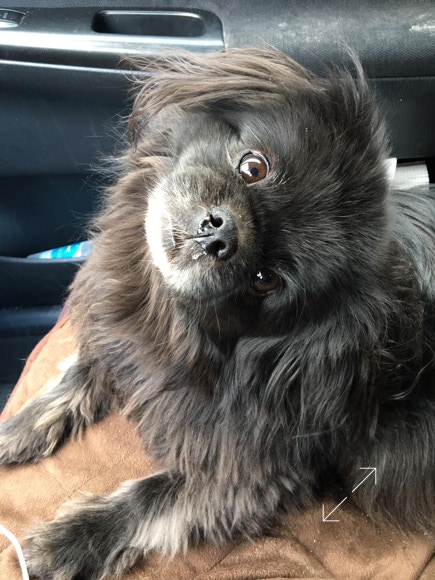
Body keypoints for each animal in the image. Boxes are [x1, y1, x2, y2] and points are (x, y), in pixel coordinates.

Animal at [0, 48, 434, 579]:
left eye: (266, 279)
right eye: (254, 167)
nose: (220, 232)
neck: (171, 319)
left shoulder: (252, 475)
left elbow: (154, 499)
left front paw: (65, 545)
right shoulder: (126, 343)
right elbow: (82, 372)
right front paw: (17, 429)